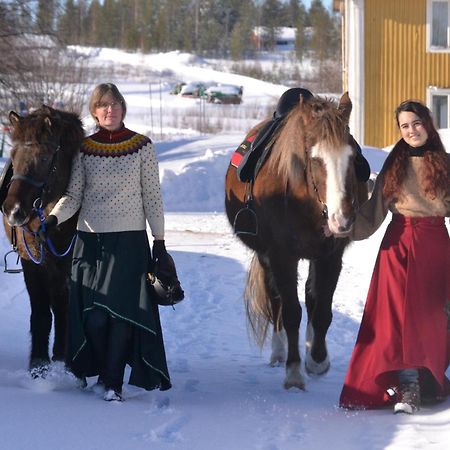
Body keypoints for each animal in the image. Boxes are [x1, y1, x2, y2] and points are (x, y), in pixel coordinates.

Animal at [1, 105, 84, 376]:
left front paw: (64, 361)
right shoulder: (33, 264)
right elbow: (40, 312)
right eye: (13, 154)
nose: (13, 210)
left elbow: (64, 309)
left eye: (45, 157)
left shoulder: (69, 264)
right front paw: (38, 364)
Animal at [225, 92, 370, 390]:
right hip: (267, 257)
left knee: (311, 298)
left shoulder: (330, 256)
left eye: (353, 157)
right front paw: (293, 372)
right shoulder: (282, 256)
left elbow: (322, 309)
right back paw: (279, 352)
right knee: (276, 300)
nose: (342, 219)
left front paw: (317, 360)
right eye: (314, 158)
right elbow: (291, 311)